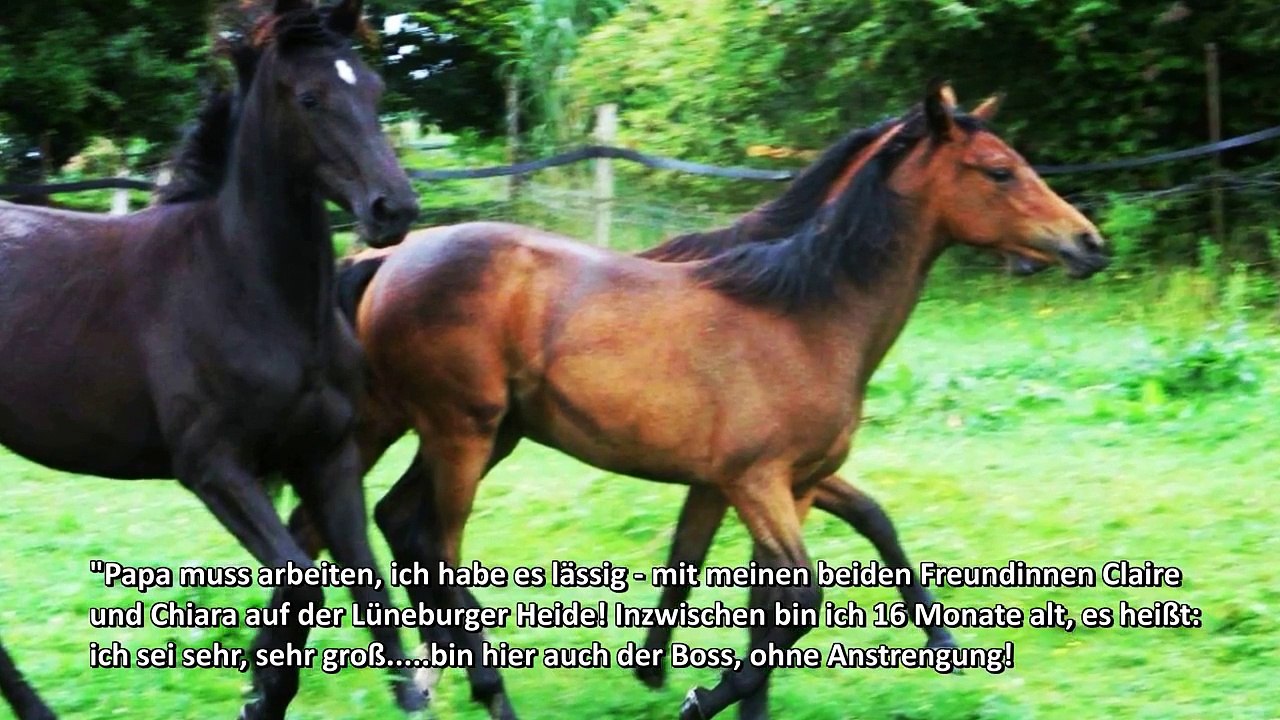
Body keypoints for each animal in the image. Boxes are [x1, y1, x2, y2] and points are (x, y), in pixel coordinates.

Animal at [0, 2, 424, 718]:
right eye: (310, 97)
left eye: (375, 89)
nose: (394, 208)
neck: (243, 284)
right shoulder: (213, 467)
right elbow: (302, 583)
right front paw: (261, 694)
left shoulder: (328, 457)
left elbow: (368, 592)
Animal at [327, 79, 1109, 720]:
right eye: (1000, 170)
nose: (1090, 243)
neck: (807, 315)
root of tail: (382, 260)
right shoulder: (752, 480)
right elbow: (796, 600)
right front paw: (694, 695)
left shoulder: (791, 484)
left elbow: (779, 587)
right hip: (459, 431)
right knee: (432, 545)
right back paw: (477, 689)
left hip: (474, 434)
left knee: (392, 524)